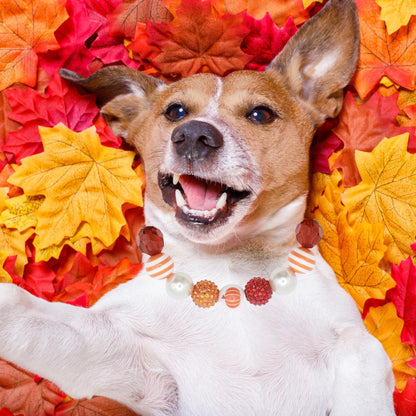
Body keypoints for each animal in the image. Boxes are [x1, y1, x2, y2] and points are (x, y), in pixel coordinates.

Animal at [0, 0, 394, 414]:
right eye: (175, 112)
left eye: (260, 114)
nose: (193, 135)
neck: (229, 274)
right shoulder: (134, 361)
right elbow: (22, 305)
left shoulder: (355, 341)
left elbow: (361, 353)